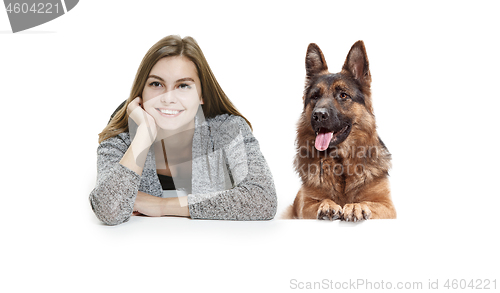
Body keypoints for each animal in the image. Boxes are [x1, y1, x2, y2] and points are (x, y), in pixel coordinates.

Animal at [288, 40, 396, 219]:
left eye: (343, 95)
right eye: (315, 96)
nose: (318, 115)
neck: (340, 162)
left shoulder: (387, 206)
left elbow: (367, 202)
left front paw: (355, 206)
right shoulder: (305, 205)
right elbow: (320, 201)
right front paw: (327, 205)